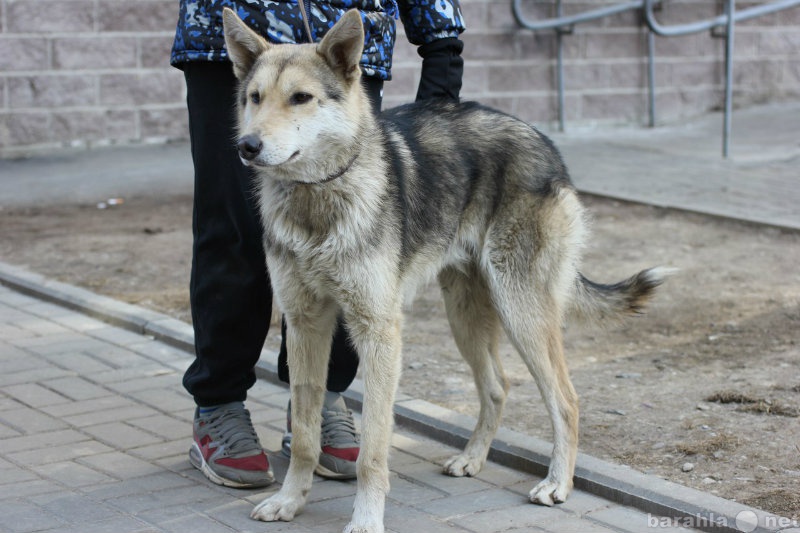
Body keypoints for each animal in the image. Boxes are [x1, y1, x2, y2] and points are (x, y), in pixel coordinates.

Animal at [220, 8, 668, 532]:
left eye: (300, 98)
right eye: (254, 98)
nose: (247, 146)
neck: (318, 200)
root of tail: (547, 146)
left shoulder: (379, 332)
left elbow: (373, 449)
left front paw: (366, 519)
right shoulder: (305, 323)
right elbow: (306, 435)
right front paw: (290, 501)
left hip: (521, 313)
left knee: (566, 399)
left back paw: (557, 483)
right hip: (466, 316)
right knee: (497, 387)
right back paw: (473, 458)